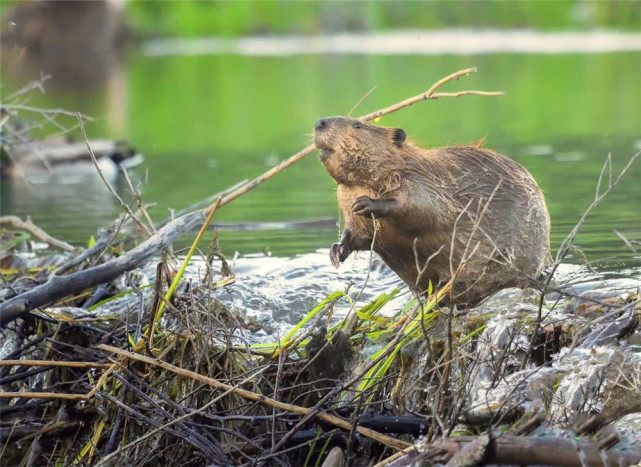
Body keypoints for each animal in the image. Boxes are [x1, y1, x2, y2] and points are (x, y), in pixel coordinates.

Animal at [316, 118, 552, 308]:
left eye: (358, 125)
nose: (320, 122)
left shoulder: (422, 182)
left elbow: (423, 210)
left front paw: (367, 203)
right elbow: (358, 234)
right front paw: (337, 251)